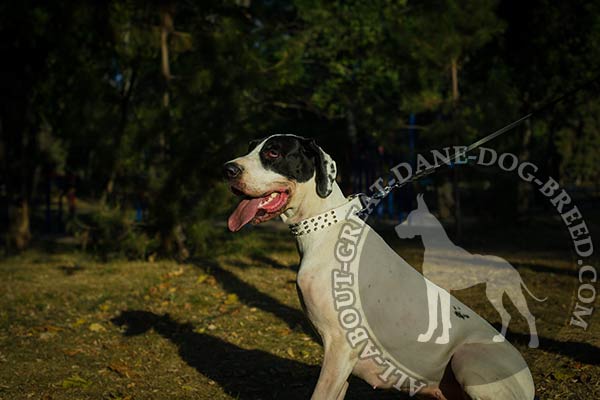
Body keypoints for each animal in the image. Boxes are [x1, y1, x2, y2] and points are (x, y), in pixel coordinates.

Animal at [224, 135, 536, 400]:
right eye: (251, 147)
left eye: (273, 152)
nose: (228, 169)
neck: (325, 227)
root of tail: (529, 381)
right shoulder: (342, 361)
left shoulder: (340, 347)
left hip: (468, 358)